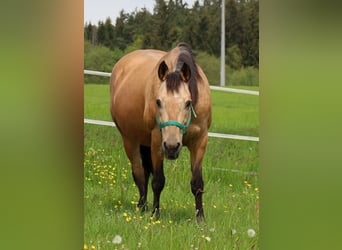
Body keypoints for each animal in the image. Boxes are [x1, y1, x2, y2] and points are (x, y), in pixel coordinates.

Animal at [109, 43, 211, 221]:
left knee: (144, 172)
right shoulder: (157, 141)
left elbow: (197, 183)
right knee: (139, 173)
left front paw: (200, 219)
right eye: (158, 102)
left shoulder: (200, 141)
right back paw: (142, 206)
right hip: (130, 139)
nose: (171, 147)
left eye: (188, 103)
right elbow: (158, 181)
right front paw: (155, 214)